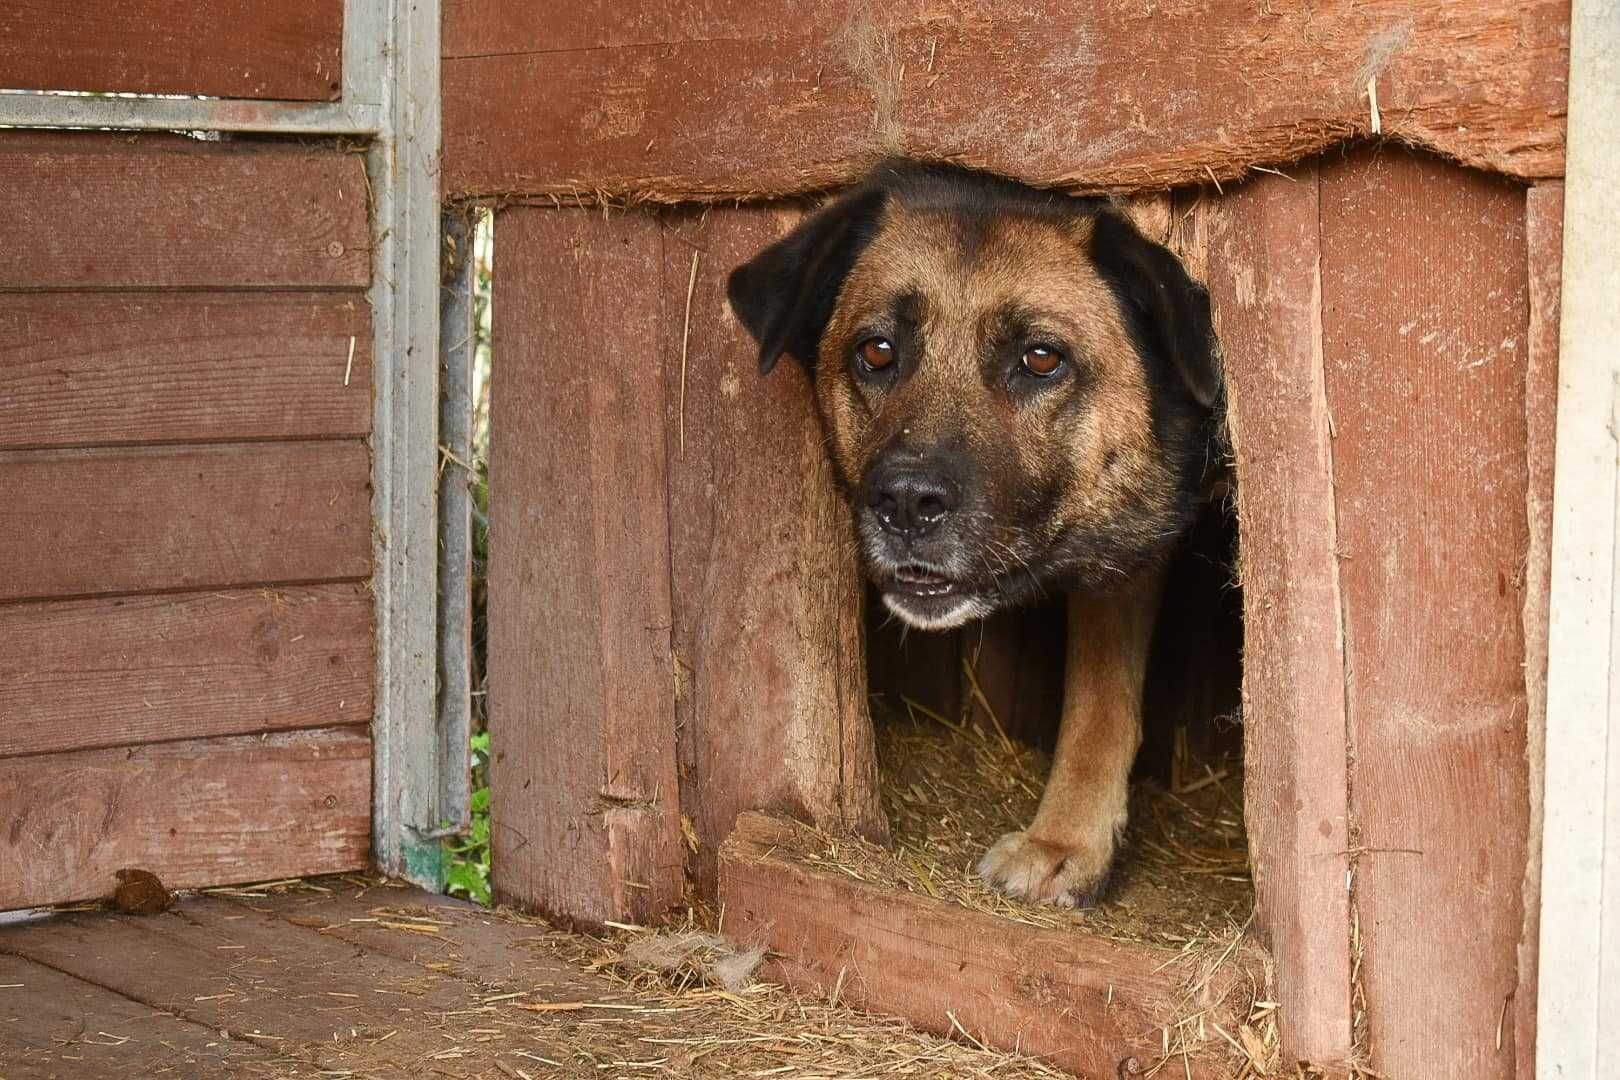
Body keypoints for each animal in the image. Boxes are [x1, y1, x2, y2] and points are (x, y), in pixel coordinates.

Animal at [729, 158, 1218, 906]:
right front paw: (1069, 840)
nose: (905, 503)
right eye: (877, 351)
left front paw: (1069, 840)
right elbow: (1099, 696)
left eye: (1041, 359)